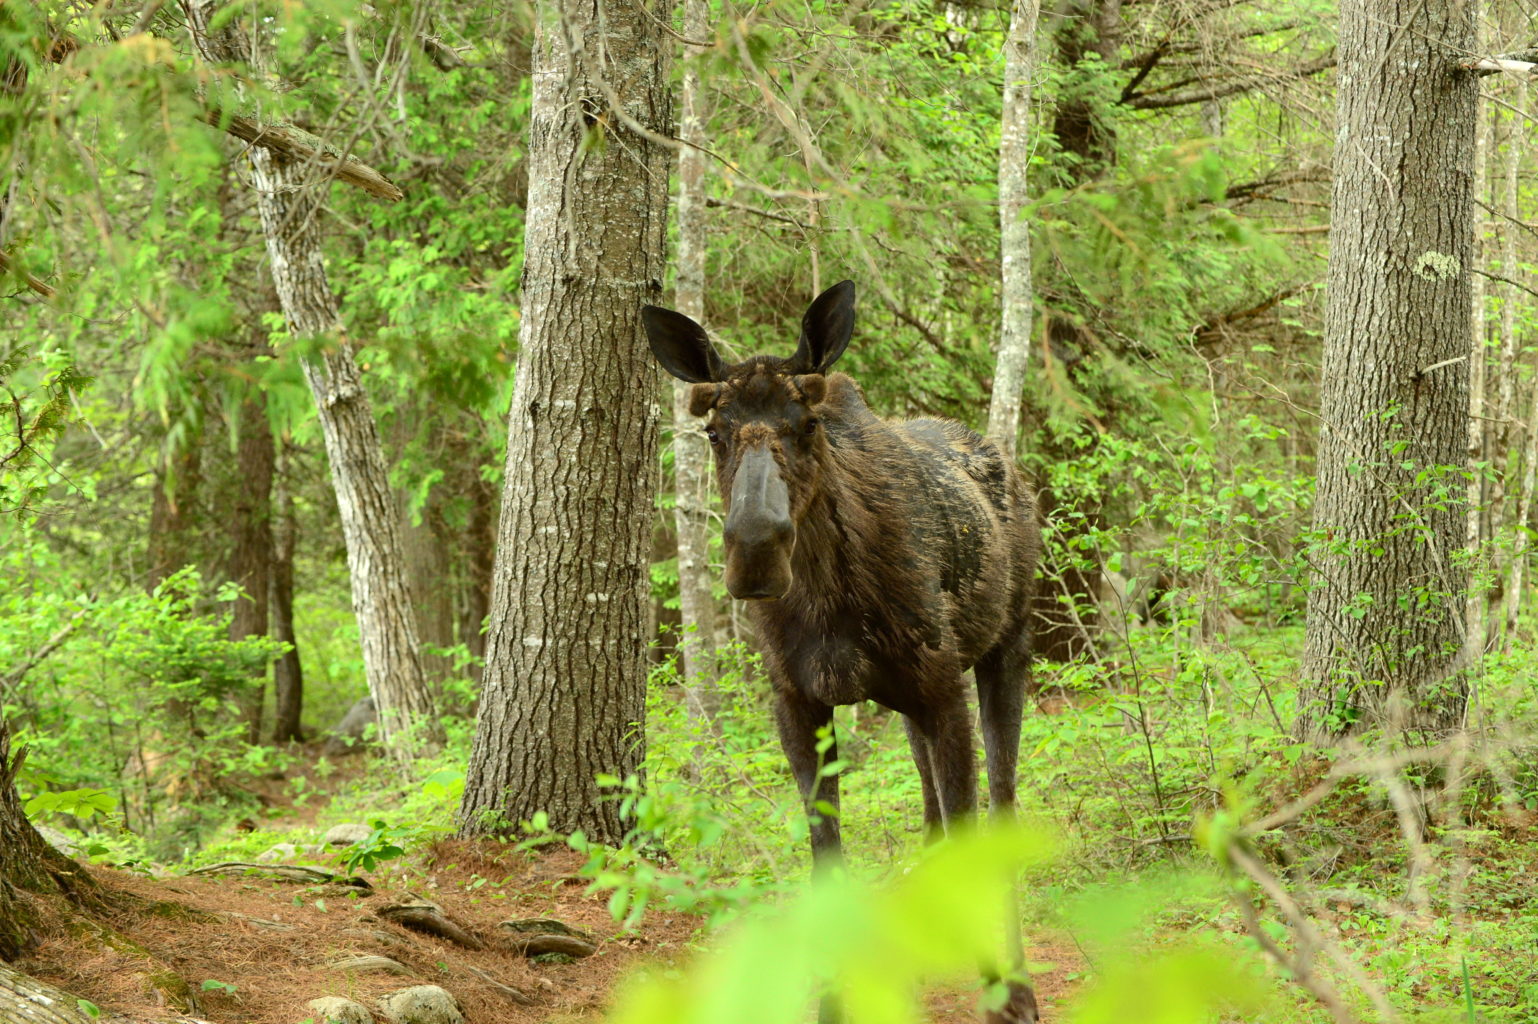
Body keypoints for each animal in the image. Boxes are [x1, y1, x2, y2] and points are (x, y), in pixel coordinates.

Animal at [636, 279, 1045, 1020]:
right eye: (713, 431)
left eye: (808, 424)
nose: (754, 550)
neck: (829, 600)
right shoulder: (799, 703)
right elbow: (827, 854)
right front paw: (831, 1000)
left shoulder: (943, 686)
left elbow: (972, 825)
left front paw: (1006, 991)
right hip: (911, 700)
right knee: (929, 810)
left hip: (1008, 644)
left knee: (1001, 802)